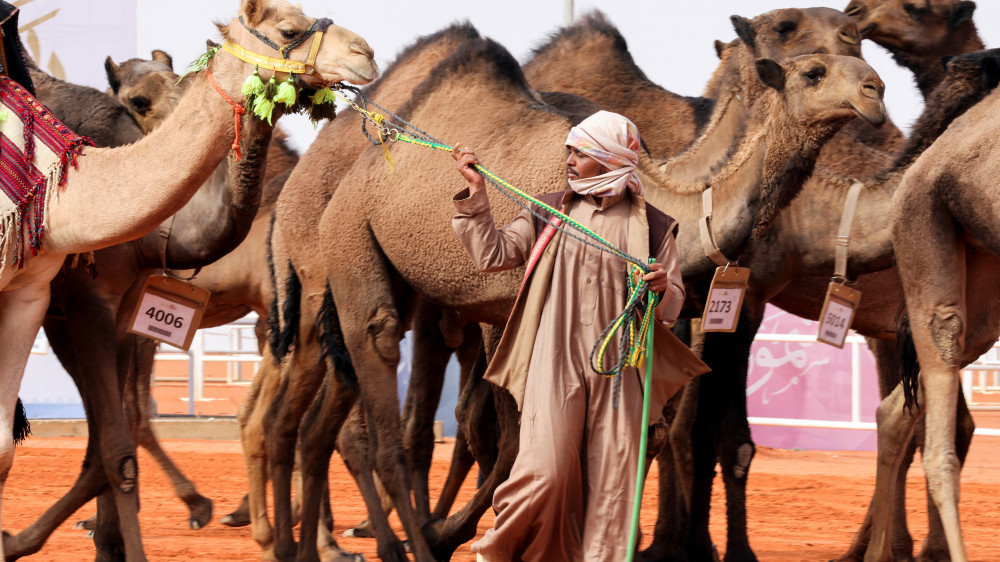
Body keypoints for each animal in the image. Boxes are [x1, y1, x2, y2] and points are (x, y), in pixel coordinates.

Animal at [0, 2, 376, 556]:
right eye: (288, 29)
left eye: (184, 82)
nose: (364, 52)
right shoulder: (87, 303)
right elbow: (119, 439)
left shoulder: (123, 310)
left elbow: (113, 440)